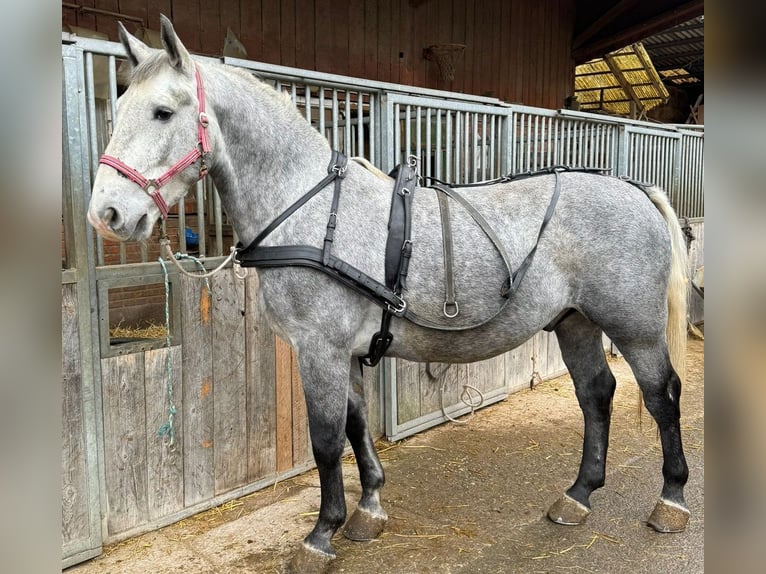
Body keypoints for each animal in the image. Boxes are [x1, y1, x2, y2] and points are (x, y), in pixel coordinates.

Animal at [87, 15, 692, 572]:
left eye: (164, 112)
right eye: (120, 108)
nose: (106, 214)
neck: (309, 207)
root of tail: (635, 189)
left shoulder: (320, 349)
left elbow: (326, 439)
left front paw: (320, 535)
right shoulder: (346, 351)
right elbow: (356, 425)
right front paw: (368, 511)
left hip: (635, 327)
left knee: (661, 395)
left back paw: (671, 499)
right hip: (575, 320)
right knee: (596, 394)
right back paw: (579, 495)